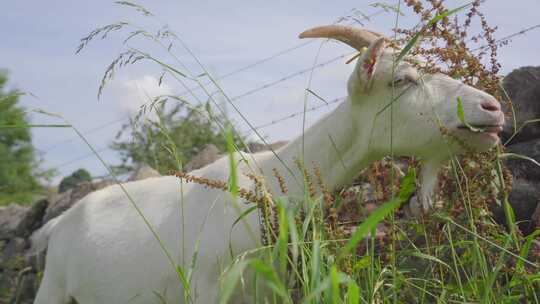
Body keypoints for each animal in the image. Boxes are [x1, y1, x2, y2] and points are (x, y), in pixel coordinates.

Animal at [32, 26, 502, 304]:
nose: (492, 107)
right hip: (53, 290)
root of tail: (58, 223)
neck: (276, 182)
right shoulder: (206, 289)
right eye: (401, 79)